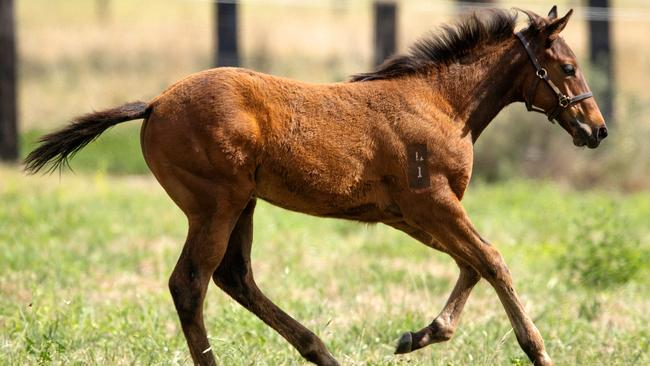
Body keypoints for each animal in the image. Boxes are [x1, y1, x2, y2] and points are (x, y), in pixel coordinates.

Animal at [24, 5, 604, 366]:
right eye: (567, 67)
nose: (596, 129)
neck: (442, 104)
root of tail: (155, 103)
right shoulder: (432, 202)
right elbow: (492, 260)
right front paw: (538, 349)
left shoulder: (406, 214)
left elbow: (471, 264)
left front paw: (418, 336)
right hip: (215, 205)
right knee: (191, 283)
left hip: (243, 204)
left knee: (234, 277)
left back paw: (321, 351)